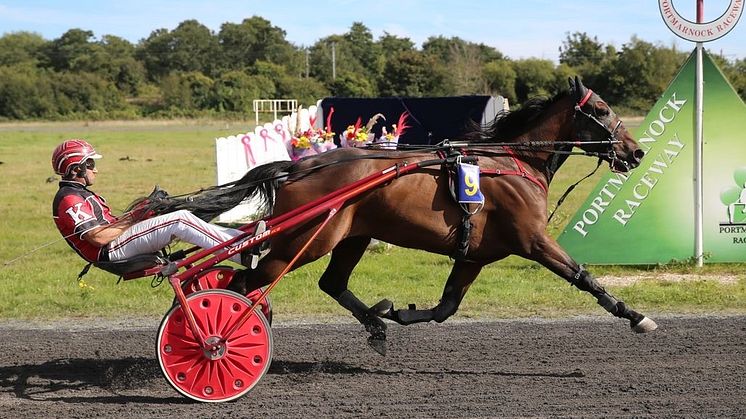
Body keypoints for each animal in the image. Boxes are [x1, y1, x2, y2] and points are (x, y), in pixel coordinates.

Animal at [158, 77, 656, 352]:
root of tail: (299, 165)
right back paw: (218, 337)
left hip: (351, 237)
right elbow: (583, 276)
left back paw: (375, 325)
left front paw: (397, 312)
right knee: (246, 284)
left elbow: (447, 307)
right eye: (601, 109)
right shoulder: (533, 241)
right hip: (305, 241)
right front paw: (635, 316)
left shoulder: (474, 255)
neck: (513, 161)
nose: (636, 152)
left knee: (329, 283)